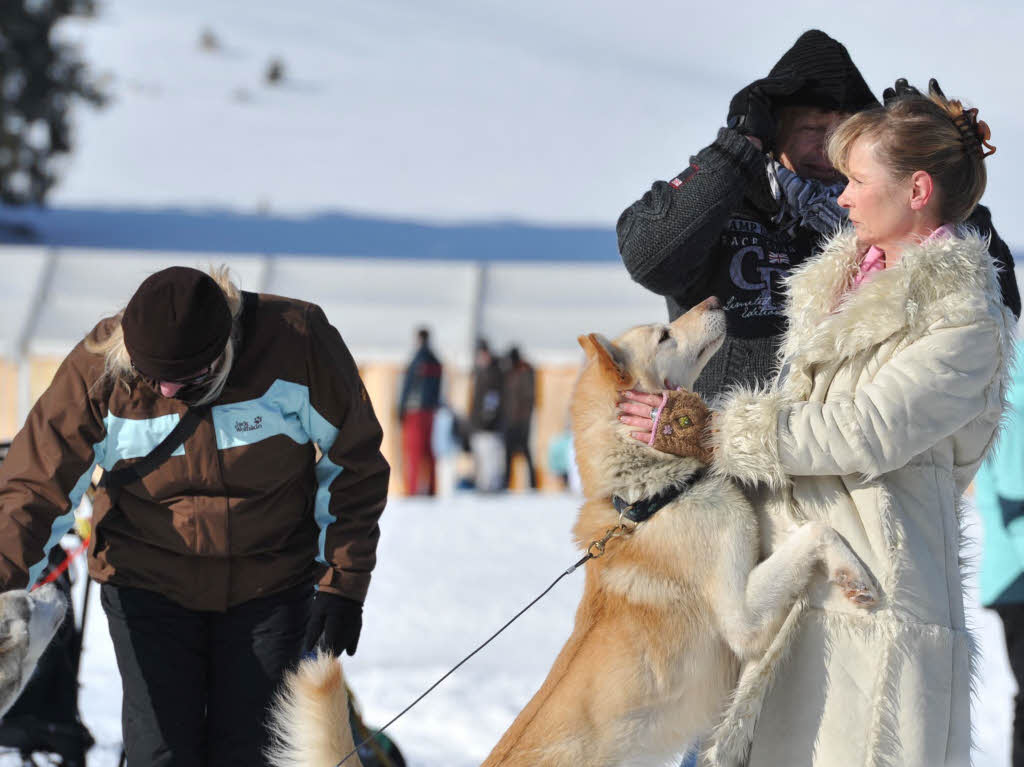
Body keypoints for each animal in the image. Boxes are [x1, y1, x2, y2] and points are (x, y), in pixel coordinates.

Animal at [268, 296, 876, 761]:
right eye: (663, 334)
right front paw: (857, 578)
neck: (651, 499)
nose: (713, 300)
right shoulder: (741, 619)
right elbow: (818, 536)